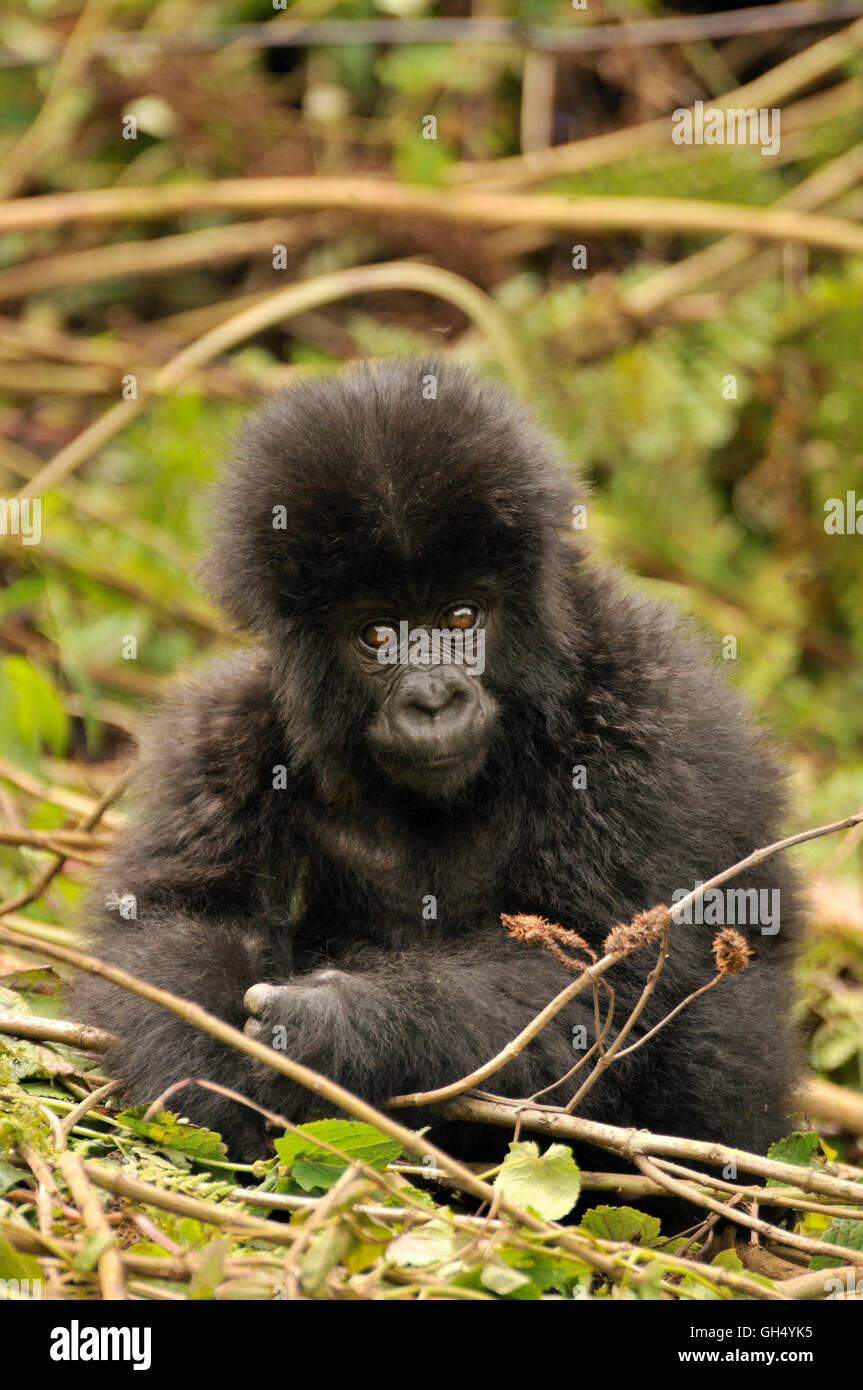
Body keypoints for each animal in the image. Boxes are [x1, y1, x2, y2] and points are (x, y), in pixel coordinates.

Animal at [72, 361, 800, 1162]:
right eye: (378, 635)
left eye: (460, 618)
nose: (432, 698)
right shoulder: (226, 733)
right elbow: (178, 917)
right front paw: (211, 1080)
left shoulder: (648, 717)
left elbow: (598, 974)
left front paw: (346, 1027)